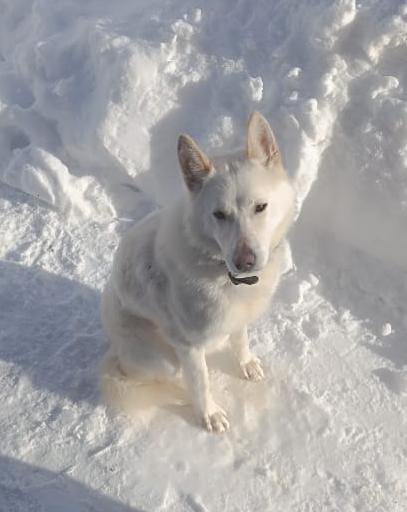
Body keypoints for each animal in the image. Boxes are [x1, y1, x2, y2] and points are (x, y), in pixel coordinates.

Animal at [100, 112, 294, 432]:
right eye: (219, 215)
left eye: (260, 207)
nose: (245, 262)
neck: (217, 266)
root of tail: (116, 353)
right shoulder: (187, 345)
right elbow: (201, 384)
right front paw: (209, 414)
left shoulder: (237, 316)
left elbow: (240, 340)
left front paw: (246, 363)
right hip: (163, 357)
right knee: (172, 377)